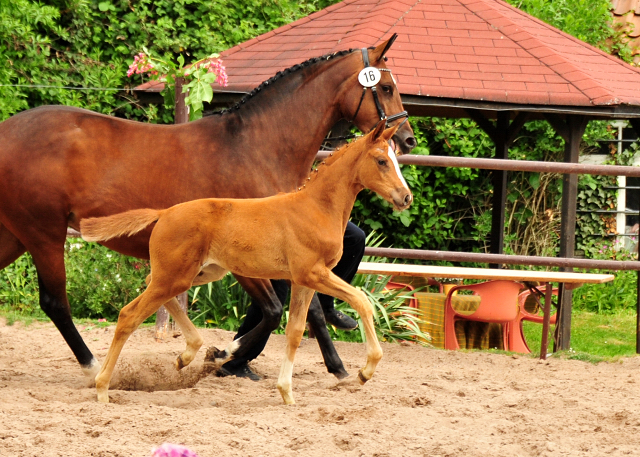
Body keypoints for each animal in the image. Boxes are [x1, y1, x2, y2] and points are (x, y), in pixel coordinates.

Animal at [80, 121, 412, 402]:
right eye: (381, 161)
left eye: (395, 160)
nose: (406, 197)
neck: (316, 208)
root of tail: (164, 213)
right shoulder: (313, 273)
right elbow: (362, 302)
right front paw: (365, 371)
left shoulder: (303, 281)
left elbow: (294, 332)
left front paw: (286, 394)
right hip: (176, 276)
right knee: (128, 315)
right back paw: (102, 388)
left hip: (197, 273)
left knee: (152, 287)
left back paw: (190, 354)